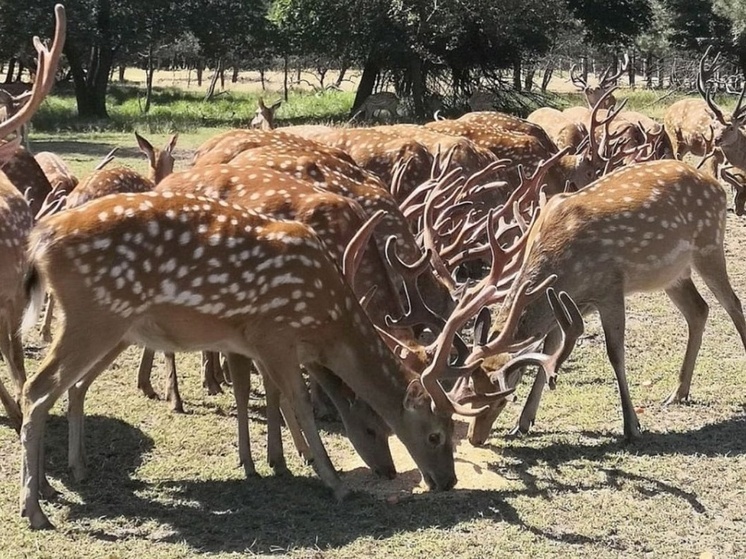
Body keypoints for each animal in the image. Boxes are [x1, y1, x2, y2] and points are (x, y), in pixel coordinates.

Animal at [486, 161, 746, 442]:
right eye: (469, 382)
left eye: (498, 396)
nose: (476, 436)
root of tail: (717, 185)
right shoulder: (564, 305)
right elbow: (549, 351)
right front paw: (522, 423)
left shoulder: (610, 288)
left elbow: (615, 353)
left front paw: (631, 426)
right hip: (671, 274)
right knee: (699, 309)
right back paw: (678, 392)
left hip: (709, 246)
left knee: (732, 303)